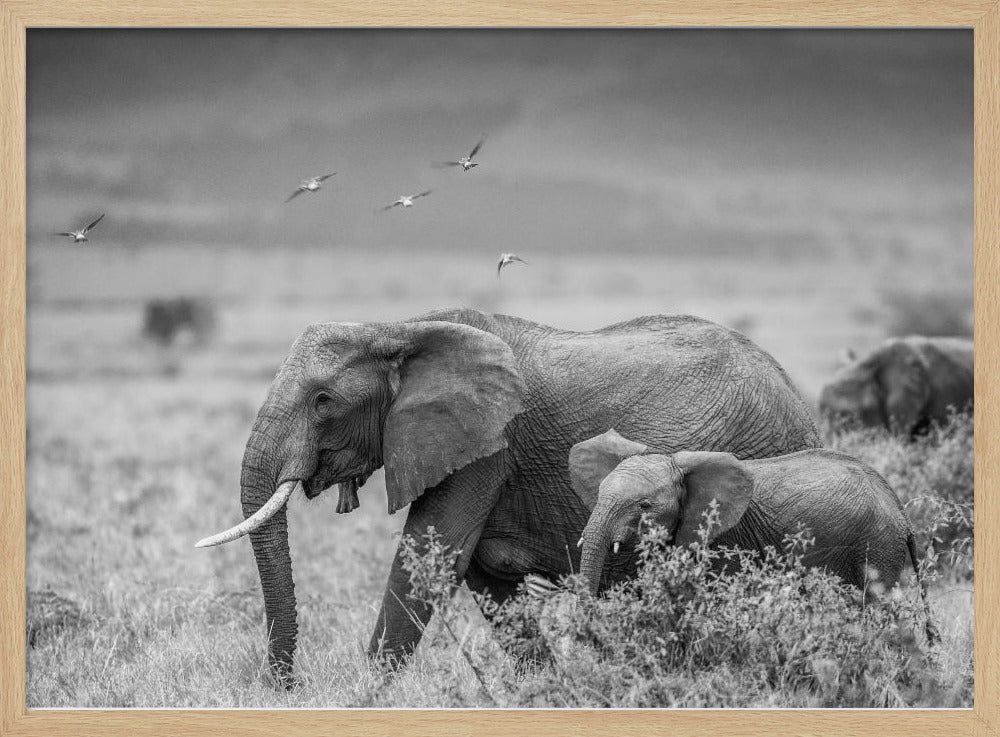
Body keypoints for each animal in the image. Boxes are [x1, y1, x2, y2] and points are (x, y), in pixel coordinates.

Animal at [195, 307, 821, 682]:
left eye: (323, 401)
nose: (281, 686)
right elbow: (485, 574)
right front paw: (546, 688)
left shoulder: (486, 445)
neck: (400, 329)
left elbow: (430, 555)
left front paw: (365, 693)